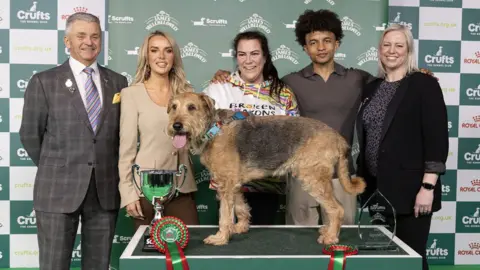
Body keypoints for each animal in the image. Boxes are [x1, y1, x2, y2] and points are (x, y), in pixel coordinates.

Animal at [167, 93, 366, 247]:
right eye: (173, 107)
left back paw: (330, 237)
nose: (176, 126)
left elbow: (224, 215)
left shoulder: (226, 184)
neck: (213, 129)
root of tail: (338, 138)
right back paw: (328, 231)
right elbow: (240, 207)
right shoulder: (233, 183)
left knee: (337, 209)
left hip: (313, 178)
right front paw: (240, 227)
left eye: (192, 107)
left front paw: (220, 238)